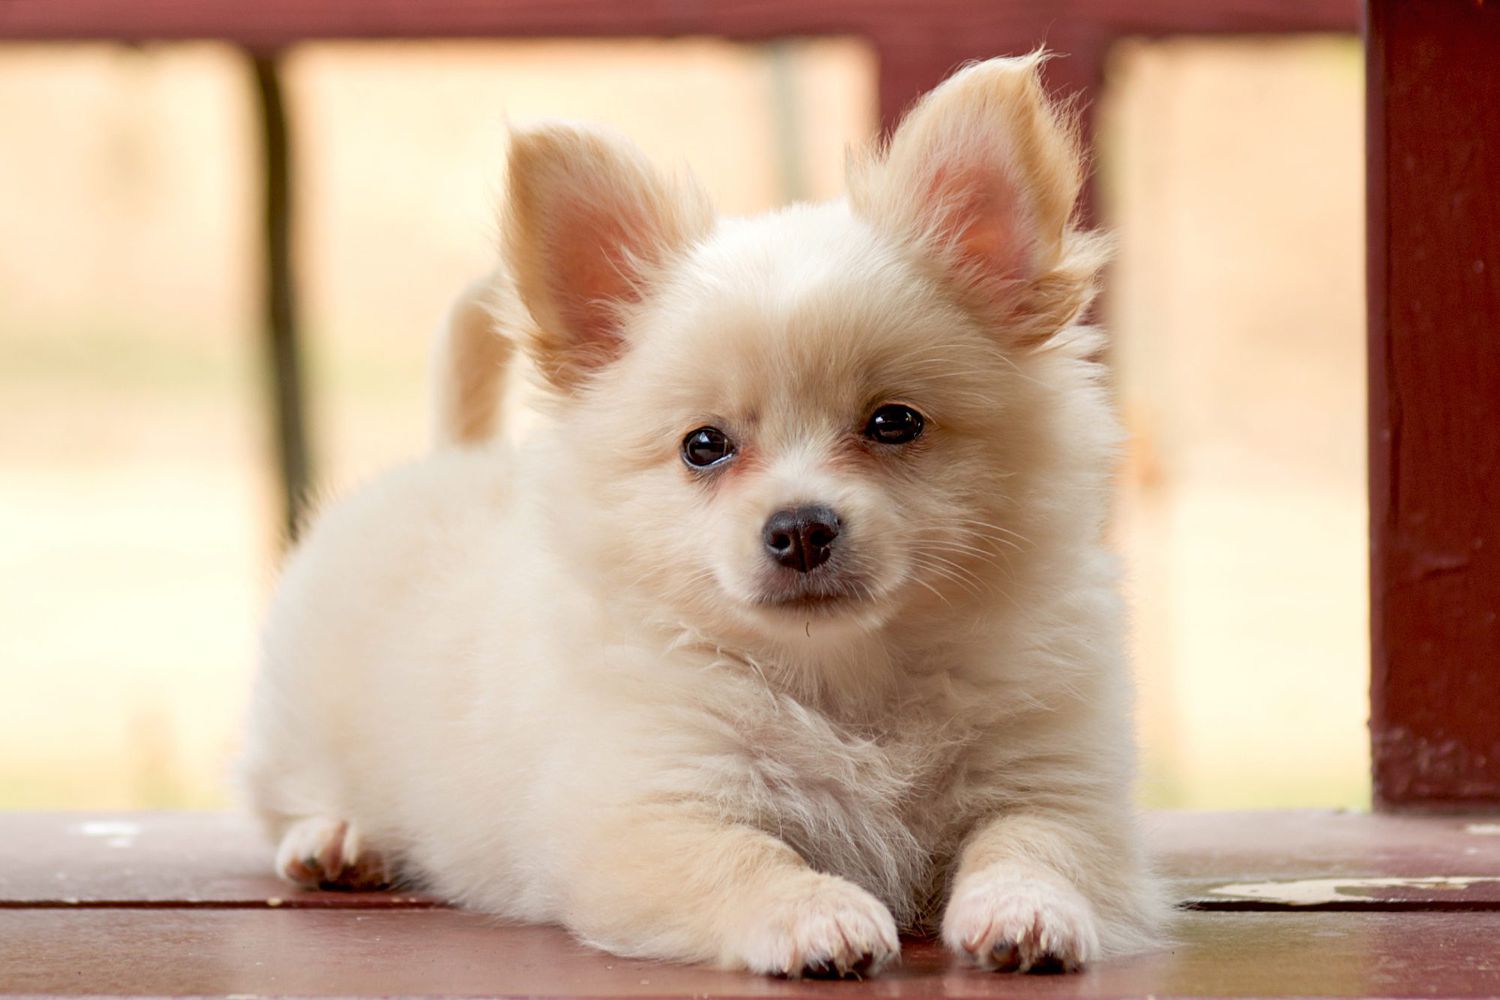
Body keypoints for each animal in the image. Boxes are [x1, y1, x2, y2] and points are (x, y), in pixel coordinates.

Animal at [237, 52, 1170, 977]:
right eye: (704, 446)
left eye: (893, 423)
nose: (800, 527)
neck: (844, 680)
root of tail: (451, 456)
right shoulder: (650, 809)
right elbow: (747, 857)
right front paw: (817, 917)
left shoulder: (1055, 785)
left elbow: (1031, 844)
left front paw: (1026, 913)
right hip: (296, 722)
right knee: (286, 795)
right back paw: (335, 838)